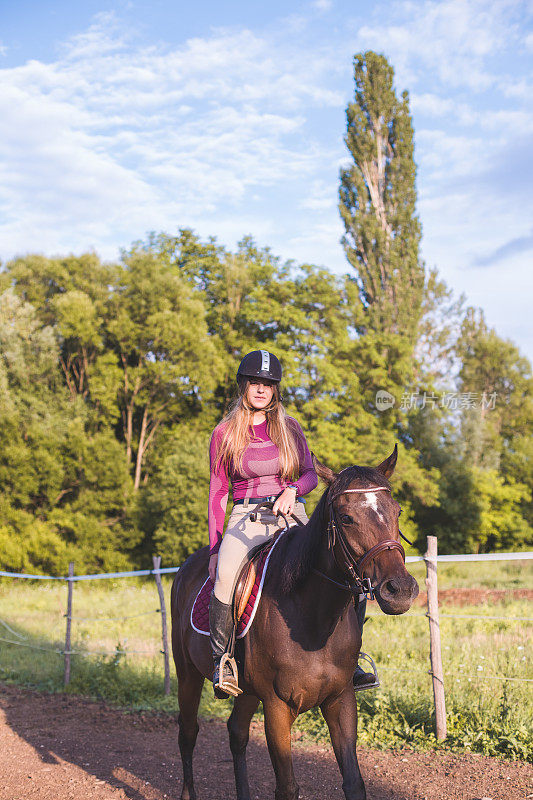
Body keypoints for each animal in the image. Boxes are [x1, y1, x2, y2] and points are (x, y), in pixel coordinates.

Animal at [170, 446, 420, 800]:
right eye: (346, 518)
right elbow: (287, 787)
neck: (312, 621)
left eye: (396, 511)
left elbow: (354, 782)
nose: (399, 590)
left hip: (246, 691)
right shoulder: (277, 707)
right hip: (188, 673)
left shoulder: (341, 699)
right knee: (189, 732)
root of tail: (187, 567)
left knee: (236, 732)